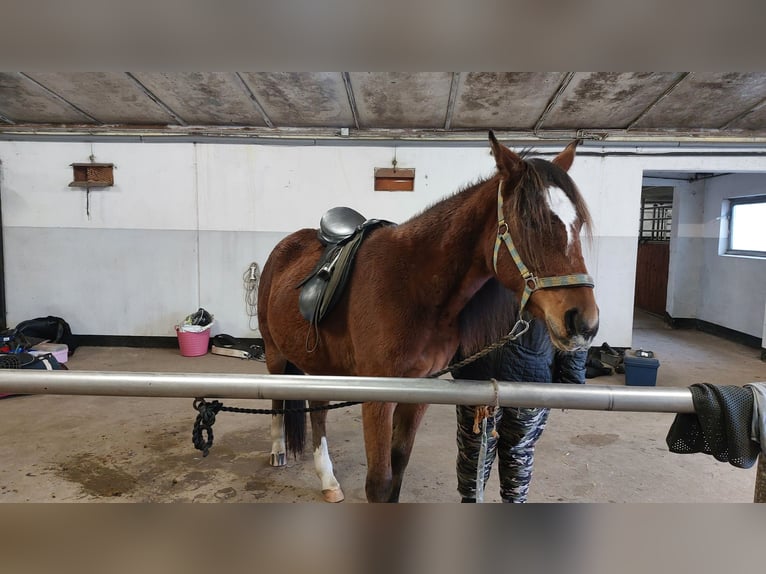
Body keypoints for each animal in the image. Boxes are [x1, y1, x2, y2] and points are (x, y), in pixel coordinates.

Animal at [258, 134, 600, 504]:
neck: (413, 286)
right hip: (275, 353)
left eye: (579, 224)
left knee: (318, 411)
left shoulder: (420, 390)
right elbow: (378, 482)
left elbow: (398, 467)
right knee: (278, 400)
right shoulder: (378, 397)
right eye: (531, 222)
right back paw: (278, 451)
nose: (584, 322)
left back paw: (328, 480)